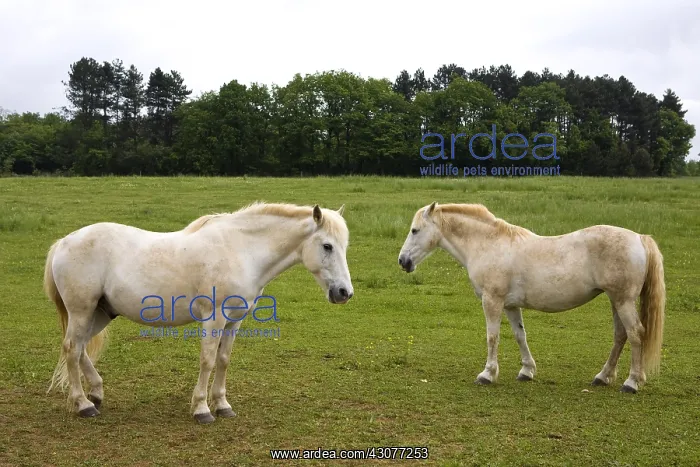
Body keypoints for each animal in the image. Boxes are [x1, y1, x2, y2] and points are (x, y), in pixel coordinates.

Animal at [44, 202, 354, 423]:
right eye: (327, 246)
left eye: (344, 246)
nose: (344, 293)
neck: (241, 251)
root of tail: (64, 242)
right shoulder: (213, 318)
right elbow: (207, 360)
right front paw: (202, 409)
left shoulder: (234, 320)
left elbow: (224, 360)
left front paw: (223, 405)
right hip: (82, 311)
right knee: (71, 348)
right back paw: (83, 405)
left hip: (98, 314)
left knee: (80, 349)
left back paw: (95, 394)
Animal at [398, 202, 665, 394]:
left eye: (415, 230)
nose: (403, 261)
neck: (488, 244)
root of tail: (639, 238)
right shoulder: (510, 305)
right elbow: (519, 335)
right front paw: (526, 371)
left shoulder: (492, 301)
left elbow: (492, 337)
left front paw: (487, 374)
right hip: (615, 300)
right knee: (620, 336)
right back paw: (603, 377)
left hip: (623, 301)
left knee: (636, 334)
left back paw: (631, 383)